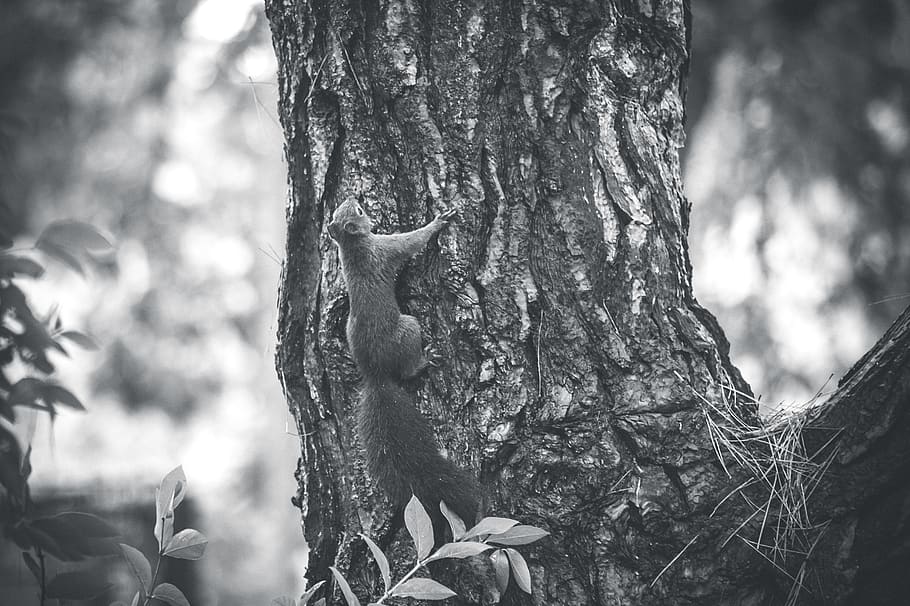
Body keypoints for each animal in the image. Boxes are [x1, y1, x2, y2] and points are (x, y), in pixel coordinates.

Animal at [327, 198, 479, 525]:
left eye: (338, 212)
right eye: (359, 212)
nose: (352, 197)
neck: (353, 246)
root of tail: (375, 374)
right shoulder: (386, 248)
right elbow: (412, 241)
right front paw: (438, 222)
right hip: (409, 327)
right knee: (408, 368)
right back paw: (425, 361)